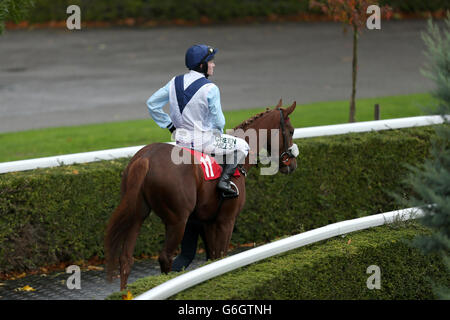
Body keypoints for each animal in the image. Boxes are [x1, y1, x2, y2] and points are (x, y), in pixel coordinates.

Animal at [103, 100, 298, 290]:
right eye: (291, 131)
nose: (292, 164)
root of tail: (146, 157)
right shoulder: (226, 220)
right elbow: (221, 256)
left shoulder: (207, 222)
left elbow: (212, 258)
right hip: (177, 220)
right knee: (165, 257)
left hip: (138, 214)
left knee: (126, 259)